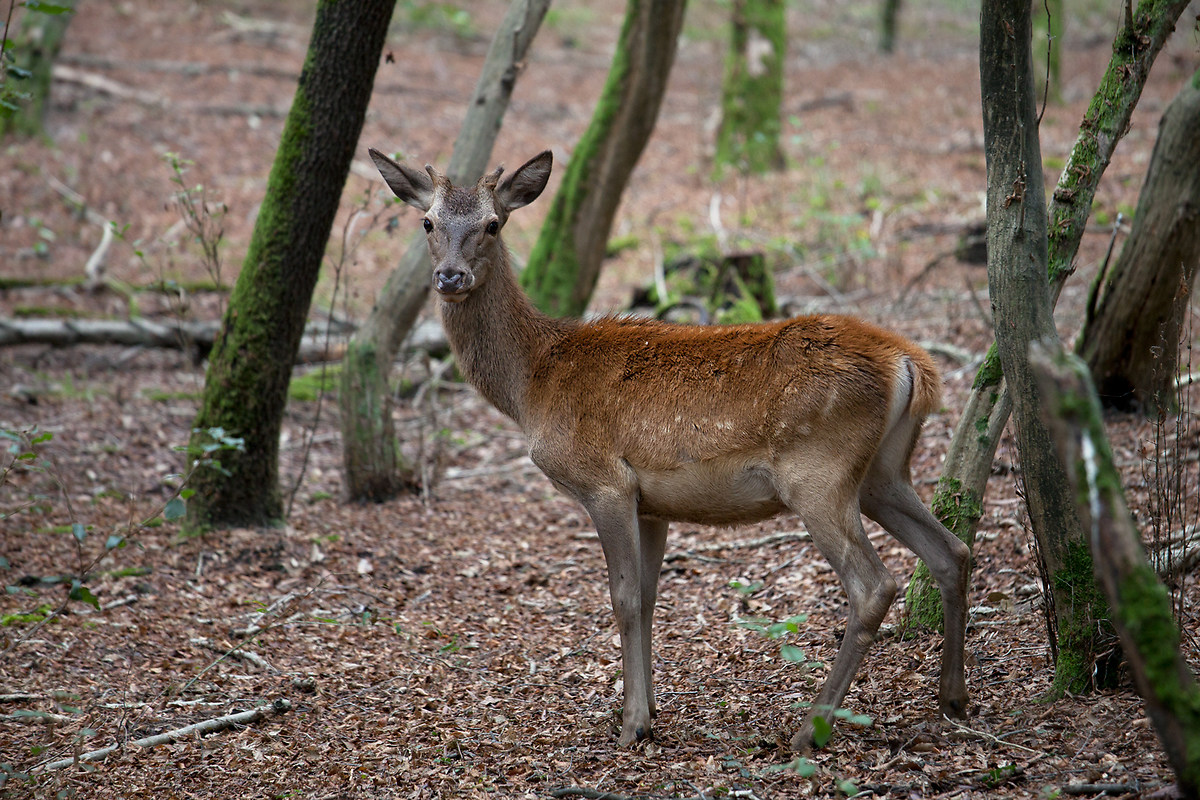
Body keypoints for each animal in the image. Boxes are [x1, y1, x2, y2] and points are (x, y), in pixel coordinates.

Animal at [367, 147, 971, 751]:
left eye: (493, 223)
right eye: (428, 222)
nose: (450, 276)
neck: (532, 384)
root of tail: (910, 362)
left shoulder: (604, 482)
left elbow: (623, 597)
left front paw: (631, 722)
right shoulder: (652, 504)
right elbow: (650, 597)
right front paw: (649, 709)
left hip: (818, 473)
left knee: (873, 584)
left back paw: (810, 728)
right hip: (883, 472)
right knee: (953, 550)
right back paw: (953, 698)